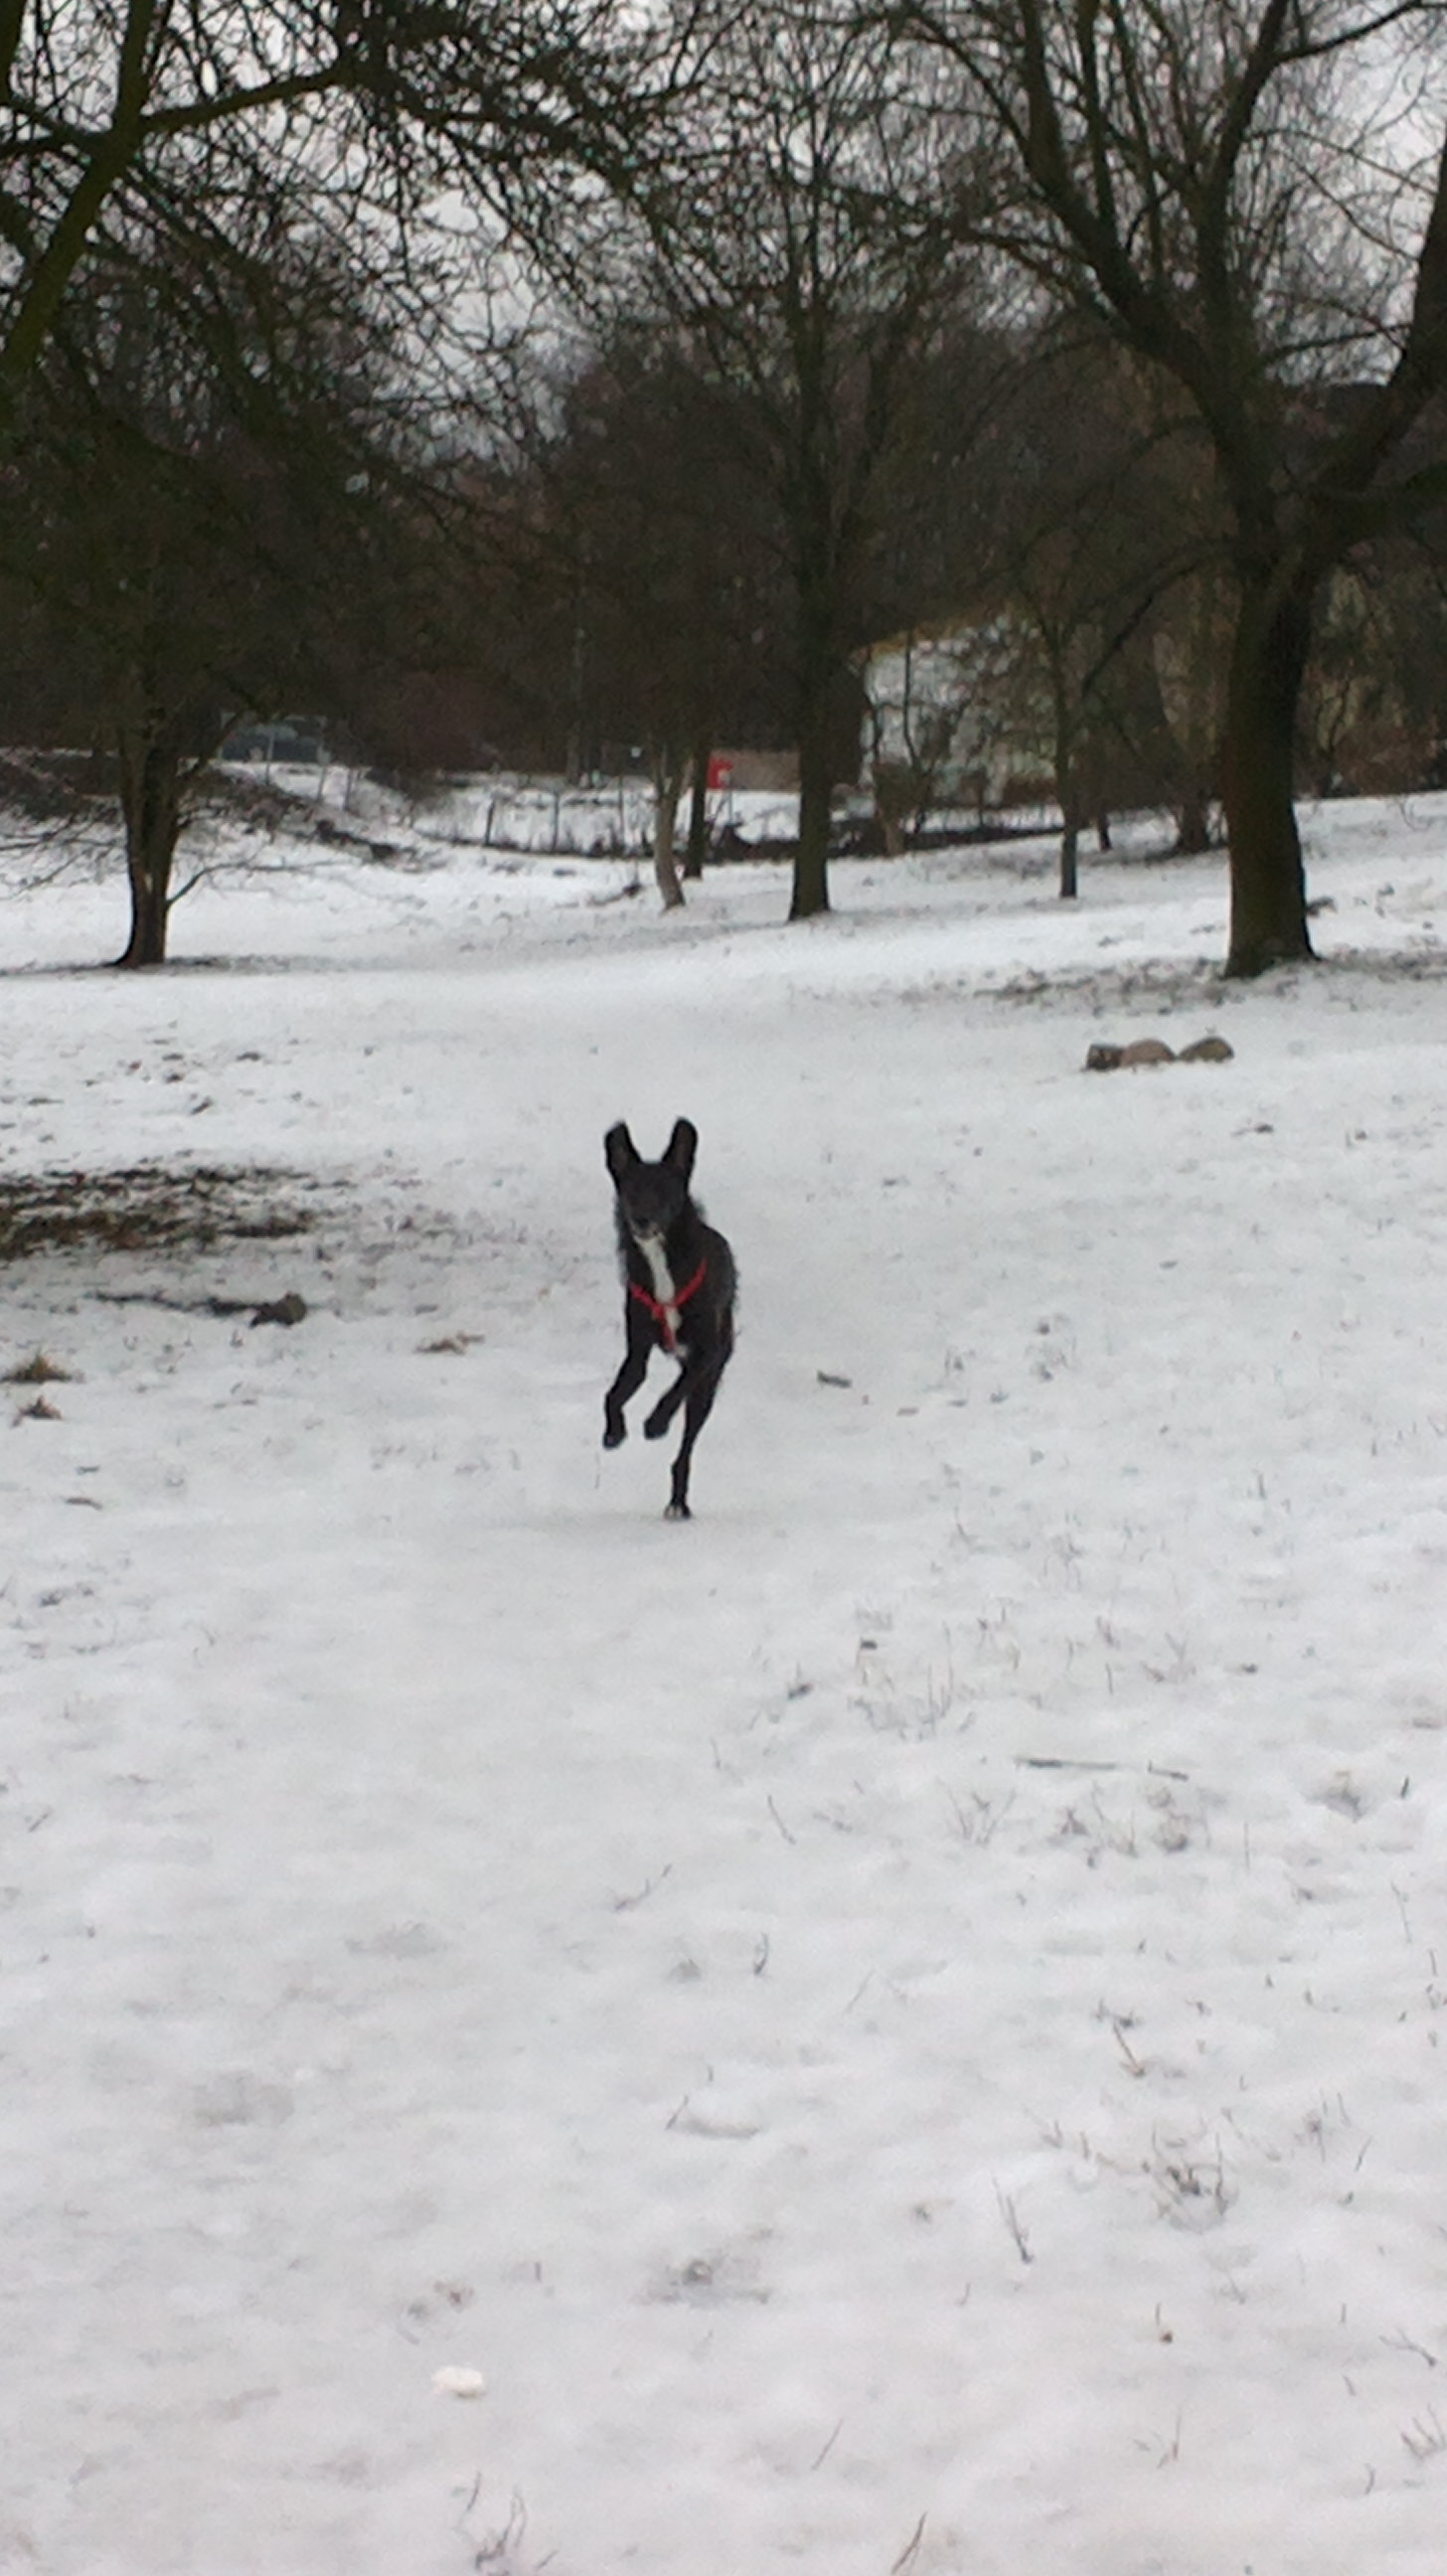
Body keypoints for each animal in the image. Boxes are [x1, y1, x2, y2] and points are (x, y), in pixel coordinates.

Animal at [602, 1118, 736, 1520]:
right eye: (631, 1191)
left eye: (664, 1192)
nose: (642, 1220)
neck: (661, 1260)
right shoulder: (637, 1353)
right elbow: (612, 1395)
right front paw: (614, 1432)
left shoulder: (706, 1353)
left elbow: (678, 1388)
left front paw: (656, 1422)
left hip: (709, 1385)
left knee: (686, 1447)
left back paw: (679, 1501)